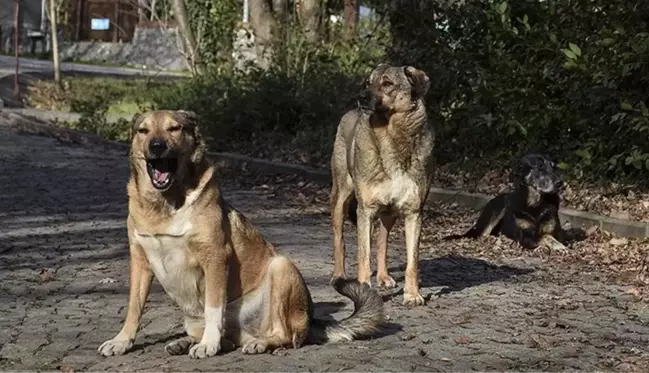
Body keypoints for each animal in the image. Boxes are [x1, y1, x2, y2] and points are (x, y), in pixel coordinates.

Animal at [96, 109, 384, 358]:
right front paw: (122, 341)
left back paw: (257, 343)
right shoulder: (140, 261)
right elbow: (134, 307)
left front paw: (208, 345)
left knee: (285, 336)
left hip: (281, 267)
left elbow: (214, 308)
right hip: (193, 318)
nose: (156, 146)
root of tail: (311, 320)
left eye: (174, 128)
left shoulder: (215, 258)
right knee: (229, 338)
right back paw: (185, 342)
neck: (165, 205)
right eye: (143, 131)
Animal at [332, 64, 432, 306]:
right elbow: (363, 255)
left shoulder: (414, 212)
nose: (361, 97)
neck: (391, 135)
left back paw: (384, 276)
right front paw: (363, 290)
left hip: (389, 213)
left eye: (387, 83)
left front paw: (412, 294)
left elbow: (412, 261)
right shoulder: (365, 210)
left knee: (382, 241)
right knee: (340, 239)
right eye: (368, 82)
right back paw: (339, 275)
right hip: (341, 198)